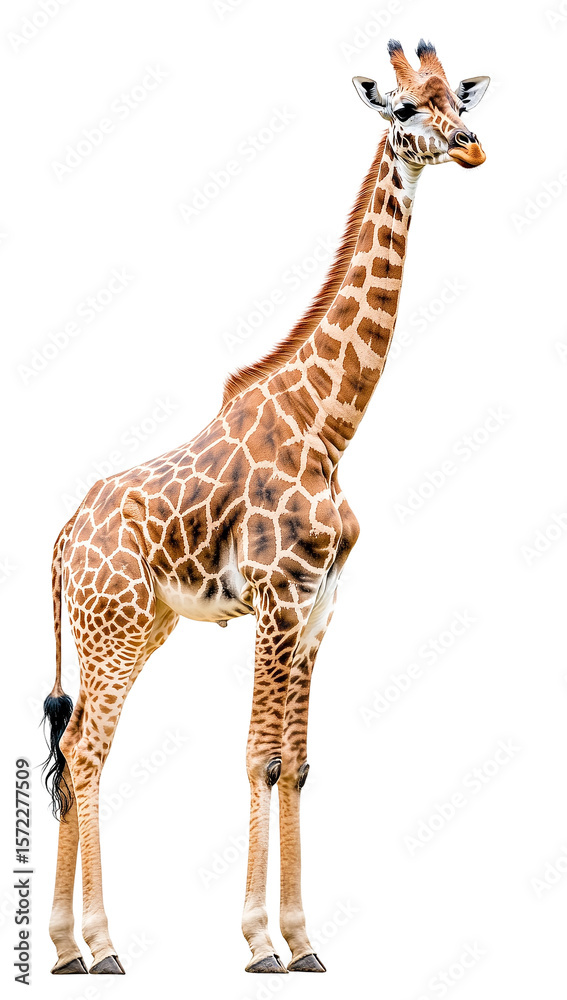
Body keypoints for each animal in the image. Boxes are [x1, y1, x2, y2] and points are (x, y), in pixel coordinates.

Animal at [42, 39, 489, 976]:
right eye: (407, 109)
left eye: (456, 99)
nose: (472, 147)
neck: (329, 428)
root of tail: (63, 537)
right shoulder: (277, 599)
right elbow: (261, 760)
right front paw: (257, 942)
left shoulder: (320, 604)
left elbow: (301, 761)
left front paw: (305, 940)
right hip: (110, 628)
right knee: (88, 749)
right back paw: (101, 946)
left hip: (139, 627)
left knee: (77, 749)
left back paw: (65, 949)